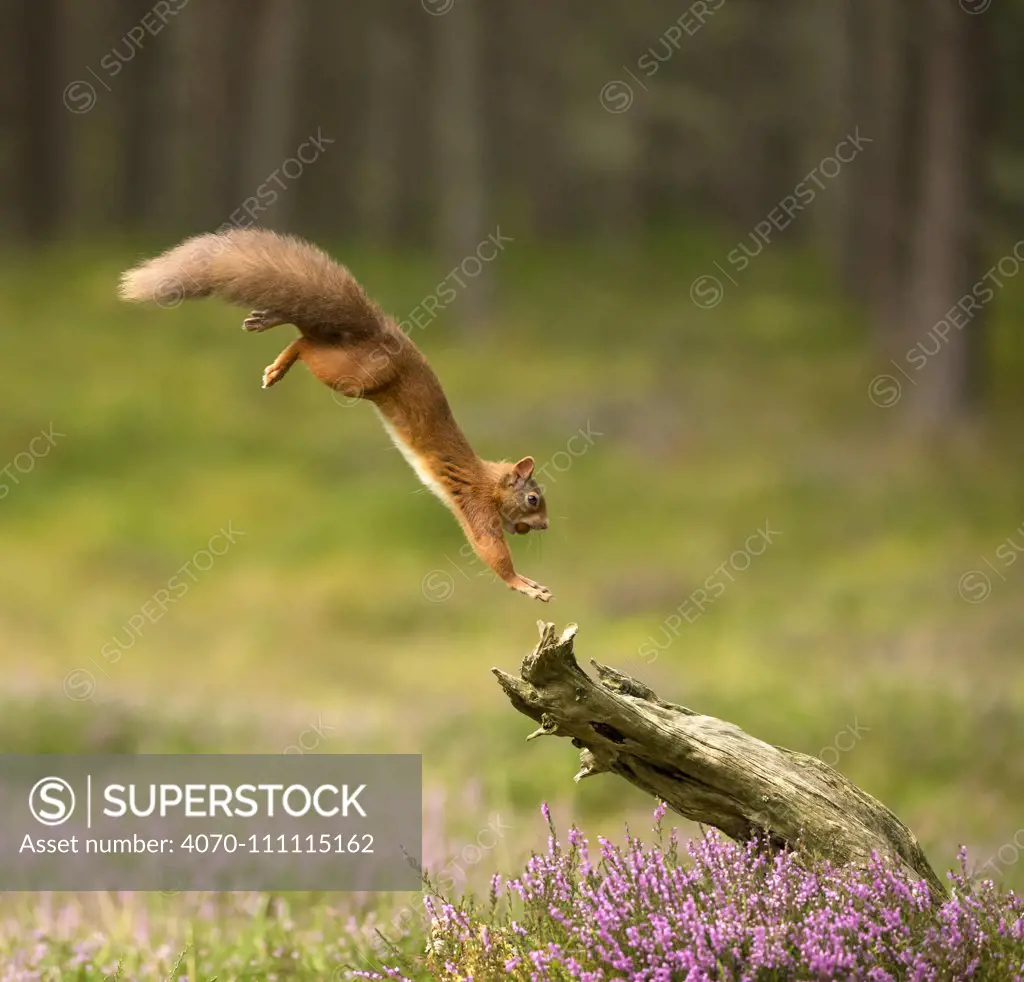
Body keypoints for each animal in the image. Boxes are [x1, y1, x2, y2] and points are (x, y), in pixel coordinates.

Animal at [117, 230, 552, 602]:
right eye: (533, 499)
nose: (546, 526)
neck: (490, 481)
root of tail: (382, 332)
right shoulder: (475, 503)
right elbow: (490, 549)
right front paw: (524, 584)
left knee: (311, 331)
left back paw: (271, 332)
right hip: (356, 375)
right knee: (307, 342)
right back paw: (280, 346)